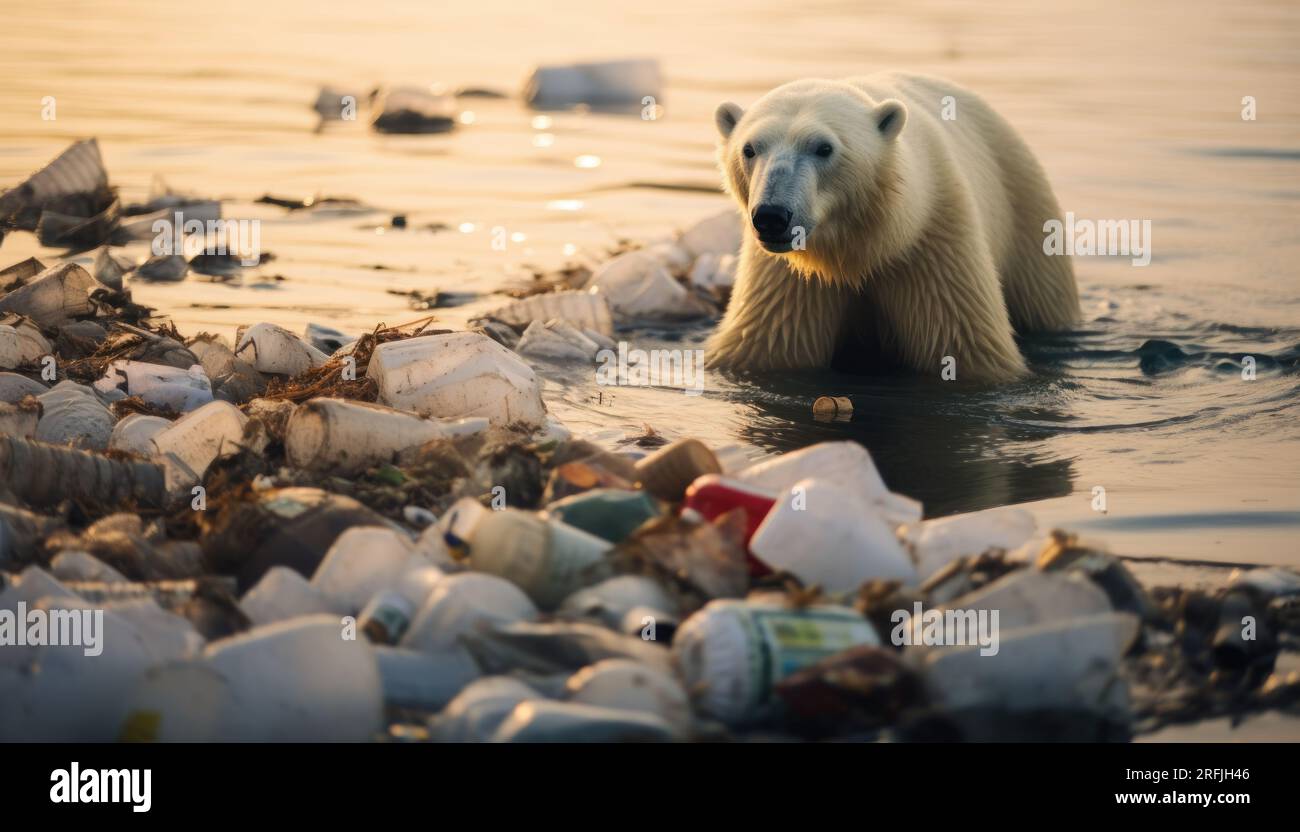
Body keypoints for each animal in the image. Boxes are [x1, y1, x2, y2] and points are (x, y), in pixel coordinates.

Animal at [705, 73, 1079, 383]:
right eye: (749, 149)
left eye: (824, 148)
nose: (772, 215)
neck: (868, 243)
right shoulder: (785, 278)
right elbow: (770, 344)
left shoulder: (935, 239)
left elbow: (961, 343)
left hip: (1023, 204)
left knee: (1043, 293)